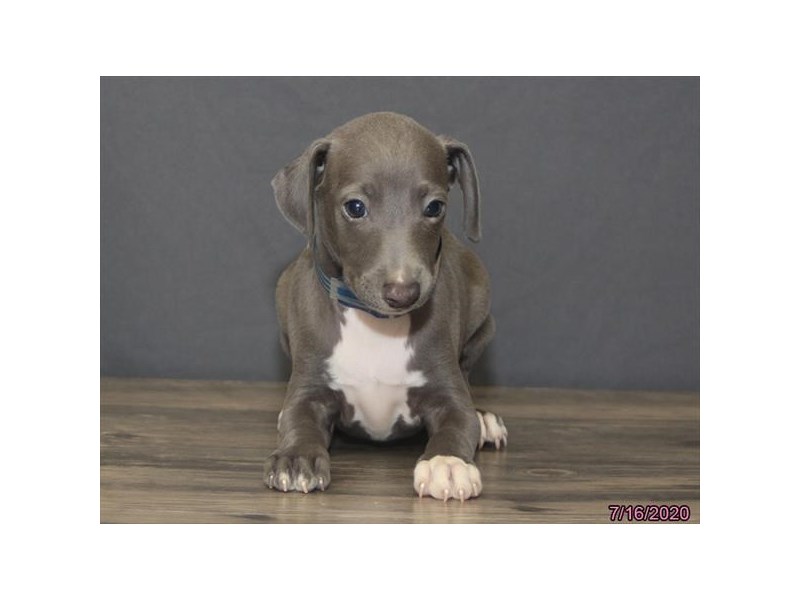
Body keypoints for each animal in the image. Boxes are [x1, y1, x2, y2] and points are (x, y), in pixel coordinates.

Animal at [265, 112, 507, 501]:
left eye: (435, 207)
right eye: (355, 207)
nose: (403, 292)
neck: (376, 325)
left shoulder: (446, 388)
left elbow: (459, 421)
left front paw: (447, 463)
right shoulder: (309, 386)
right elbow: (298, 418)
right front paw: (295, 457)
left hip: (482, 316)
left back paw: (485, 419)